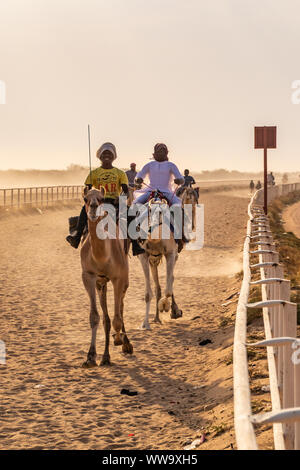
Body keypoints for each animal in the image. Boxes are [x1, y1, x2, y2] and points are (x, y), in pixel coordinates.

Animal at [79, 187, 132, 368]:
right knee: (106, 317)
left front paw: (119, 340)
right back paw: (106, 356)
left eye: (101, 199)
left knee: (121, 307)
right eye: (85, 199)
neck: (102, 257)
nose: (94, 207)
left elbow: (117, 318)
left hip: (124, 278)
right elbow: (95, 317)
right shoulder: (88, 276)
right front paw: (90, 357)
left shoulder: (118, 278)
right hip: (101, 283)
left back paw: (125, 343)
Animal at [134, 198, 183, 330]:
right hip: (153, 261)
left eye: (162, 213)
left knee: (171, 279)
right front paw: (145, 324)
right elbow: (147, 294)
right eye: (149, 211)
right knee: (158, 286)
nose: (151, 227)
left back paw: (174, 311)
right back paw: (156, 318)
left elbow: (168, 289)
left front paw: (165, 305)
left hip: (174, 255)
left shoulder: (171, 253)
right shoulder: (144, 256)